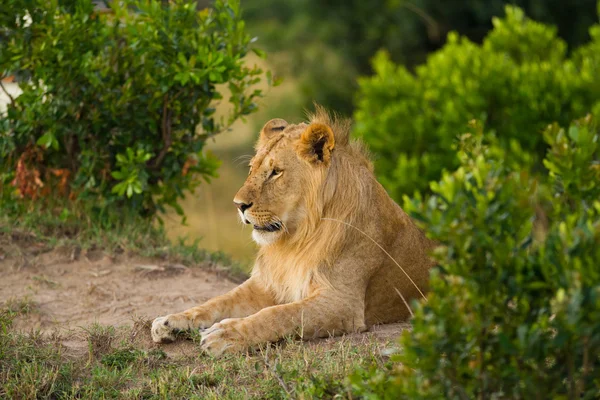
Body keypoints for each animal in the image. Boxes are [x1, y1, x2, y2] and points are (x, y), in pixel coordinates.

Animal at [151, 107, 436, 356]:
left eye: (276, 172)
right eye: (252, 169)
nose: (238, 205)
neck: (294, 239)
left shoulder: (342, 303)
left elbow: (278, 315)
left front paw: (224, 335)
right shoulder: (266, 283)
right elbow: (217, 302)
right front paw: (171, 321)